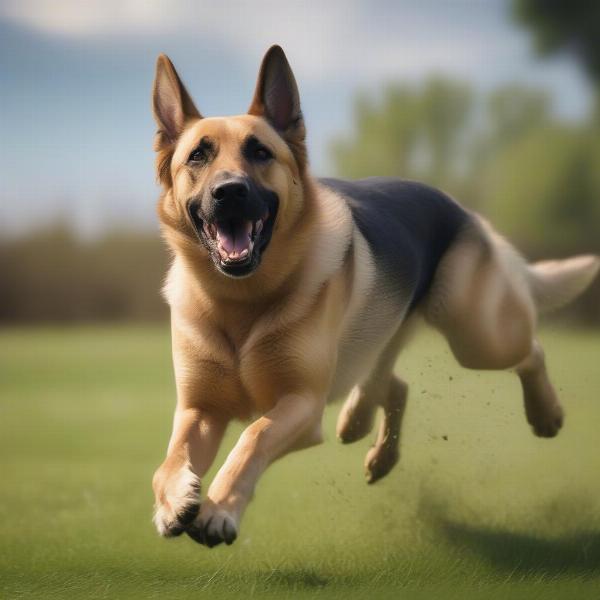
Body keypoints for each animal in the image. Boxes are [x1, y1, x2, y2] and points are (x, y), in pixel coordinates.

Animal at [150, 44, 600, 548]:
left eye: (260, 152)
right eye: (198, 156)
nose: (229, 192)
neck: (241, 302)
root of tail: (465, 210)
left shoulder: (300, 403)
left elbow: (252, 439)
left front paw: (219, 509)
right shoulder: (199, 410)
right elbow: (168, 461)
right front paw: (174, 501)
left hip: (476, 337)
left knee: (530, 350)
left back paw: (546, 413)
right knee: (393, 381)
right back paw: (372, 440)